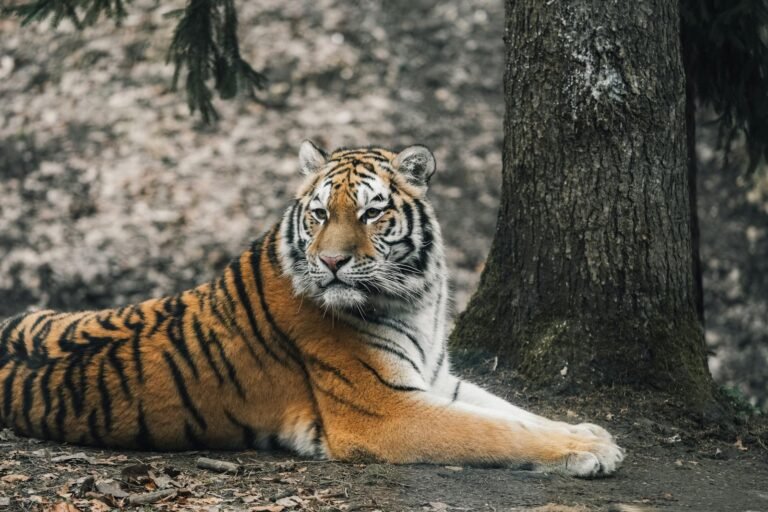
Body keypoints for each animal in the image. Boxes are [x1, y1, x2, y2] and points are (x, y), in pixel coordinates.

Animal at [0, 141, 624, 477]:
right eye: (321, 213)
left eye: (372, 213)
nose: (331, 263)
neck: (418, 298)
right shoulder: (385, 412)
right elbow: (492, 432)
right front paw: (591, 450)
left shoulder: (434, 378)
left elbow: (511, 411)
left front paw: (589, 431)